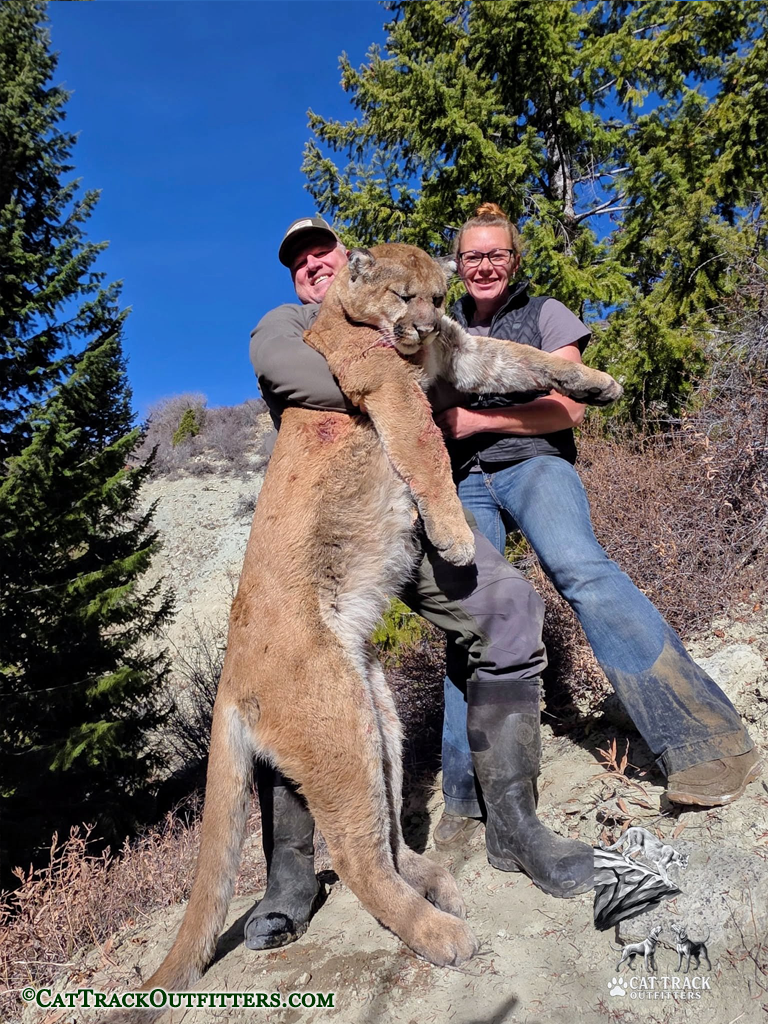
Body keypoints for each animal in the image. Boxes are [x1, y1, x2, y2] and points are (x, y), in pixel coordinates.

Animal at [140, 244, 621, 995]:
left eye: (437, 296)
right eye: (401, 297)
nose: (421, 327)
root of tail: (229, 678)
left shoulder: (463, 353)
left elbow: (526, 358)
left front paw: (599, 383)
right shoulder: (392, 391)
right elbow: (429, 456)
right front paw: (454, 539)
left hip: (377, 714)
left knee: (388, 836)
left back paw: (435, 881)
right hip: (339, 731)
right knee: (358, 859)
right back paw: (441, 933)